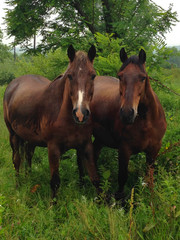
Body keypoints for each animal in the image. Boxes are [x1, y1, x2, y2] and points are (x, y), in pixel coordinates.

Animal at [3, 44, 100, 199]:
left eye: (93, 75)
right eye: (69, 75)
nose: (80, 114)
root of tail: (13, 84)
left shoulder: (86, 145)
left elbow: (95, 179)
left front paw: (104, 202)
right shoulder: (53, 148)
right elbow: (55, 182)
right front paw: (52, 204)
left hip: (30, 139)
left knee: (28, 156)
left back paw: (28, 179)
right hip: (13, 135)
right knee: (17, 160)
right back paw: (18, 186)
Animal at [89, 47, 167, 200]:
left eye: (143, 77)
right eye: (120, 76)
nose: (126, 113)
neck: (146, 121)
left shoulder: (154, 150)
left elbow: (149, 178)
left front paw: (151, 199)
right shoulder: (124, 149)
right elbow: (122, 177)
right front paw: (120, 200)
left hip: (101, 138)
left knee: (94, 155)